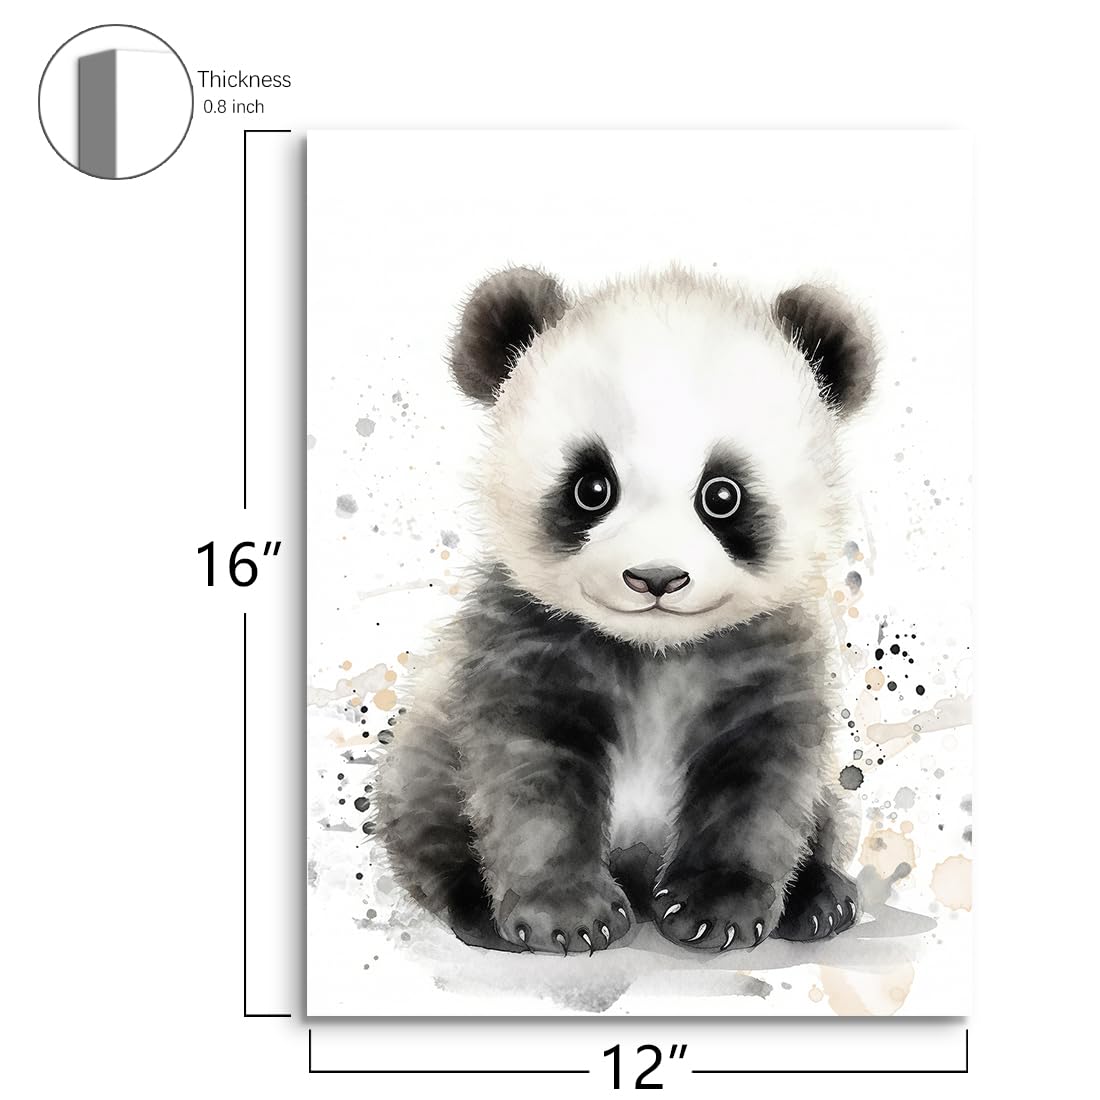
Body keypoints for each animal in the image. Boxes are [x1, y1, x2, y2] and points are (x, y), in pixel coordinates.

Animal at [376, 265, 877, 955]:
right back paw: (477, 911)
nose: (656, 577)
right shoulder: (524, 649)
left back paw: (820, 902)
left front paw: (715, 910)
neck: (654, 653)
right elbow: (534, 783)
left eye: (722, 495)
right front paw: (567, 917)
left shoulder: (765, 660)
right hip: (424, 752)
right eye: (592, 488)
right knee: (428, 824)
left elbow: (757, 788)